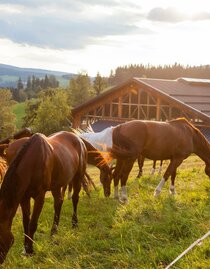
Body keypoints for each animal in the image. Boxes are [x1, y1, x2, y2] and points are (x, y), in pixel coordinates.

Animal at [0, 131, 88, 262]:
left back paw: (74, 224)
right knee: (58, 202)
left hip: (78, 177)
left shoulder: (39, 196)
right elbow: (26, 222)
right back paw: (53, 233)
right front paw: (26, 248)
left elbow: (32, 224)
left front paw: (30, 251)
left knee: (75, 199)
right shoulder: (24, 197)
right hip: (57, 185)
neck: (32, 160)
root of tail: (79, 139)